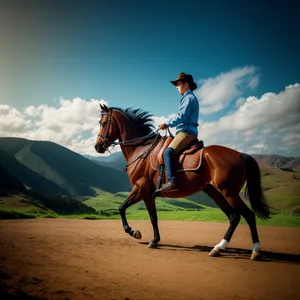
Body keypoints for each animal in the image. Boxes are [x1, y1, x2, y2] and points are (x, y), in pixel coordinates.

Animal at [95, 104, 270, 258]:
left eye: (103, 123)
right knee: (234, 217)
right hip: (215, 192)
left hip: (229, 193)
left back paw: (255, 250)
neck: (141, 149)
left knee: (248, 215)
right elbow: (153, 217)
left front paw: (134, 232)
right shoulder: (149, 195)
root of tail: (240, 154)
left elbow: (122, 208)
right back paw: (218, 248)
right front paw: (155, 240)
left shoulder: (141, 189)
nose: (97, 146)